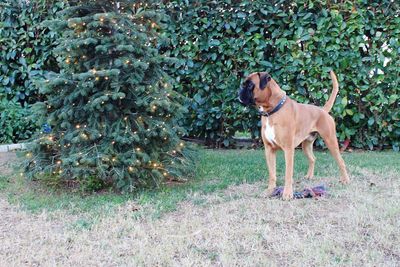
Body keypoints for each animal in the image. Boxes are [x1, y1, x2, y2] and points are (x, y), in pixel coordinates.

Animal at [239, 71, 348, 201]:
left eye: (250, 85)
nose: (239, 90)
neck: (272, 111)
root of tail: (322, 110)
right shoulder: (269, 150)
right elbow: (272, 173)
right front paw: (270, 190)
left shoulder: (288, 150)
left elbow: (288, 173)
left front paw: (287, 194)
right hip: (306, 146)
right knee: (313, 159)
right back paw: (309, 176)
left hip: (330, 141)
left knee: (341, 161)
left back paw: (345, 180)